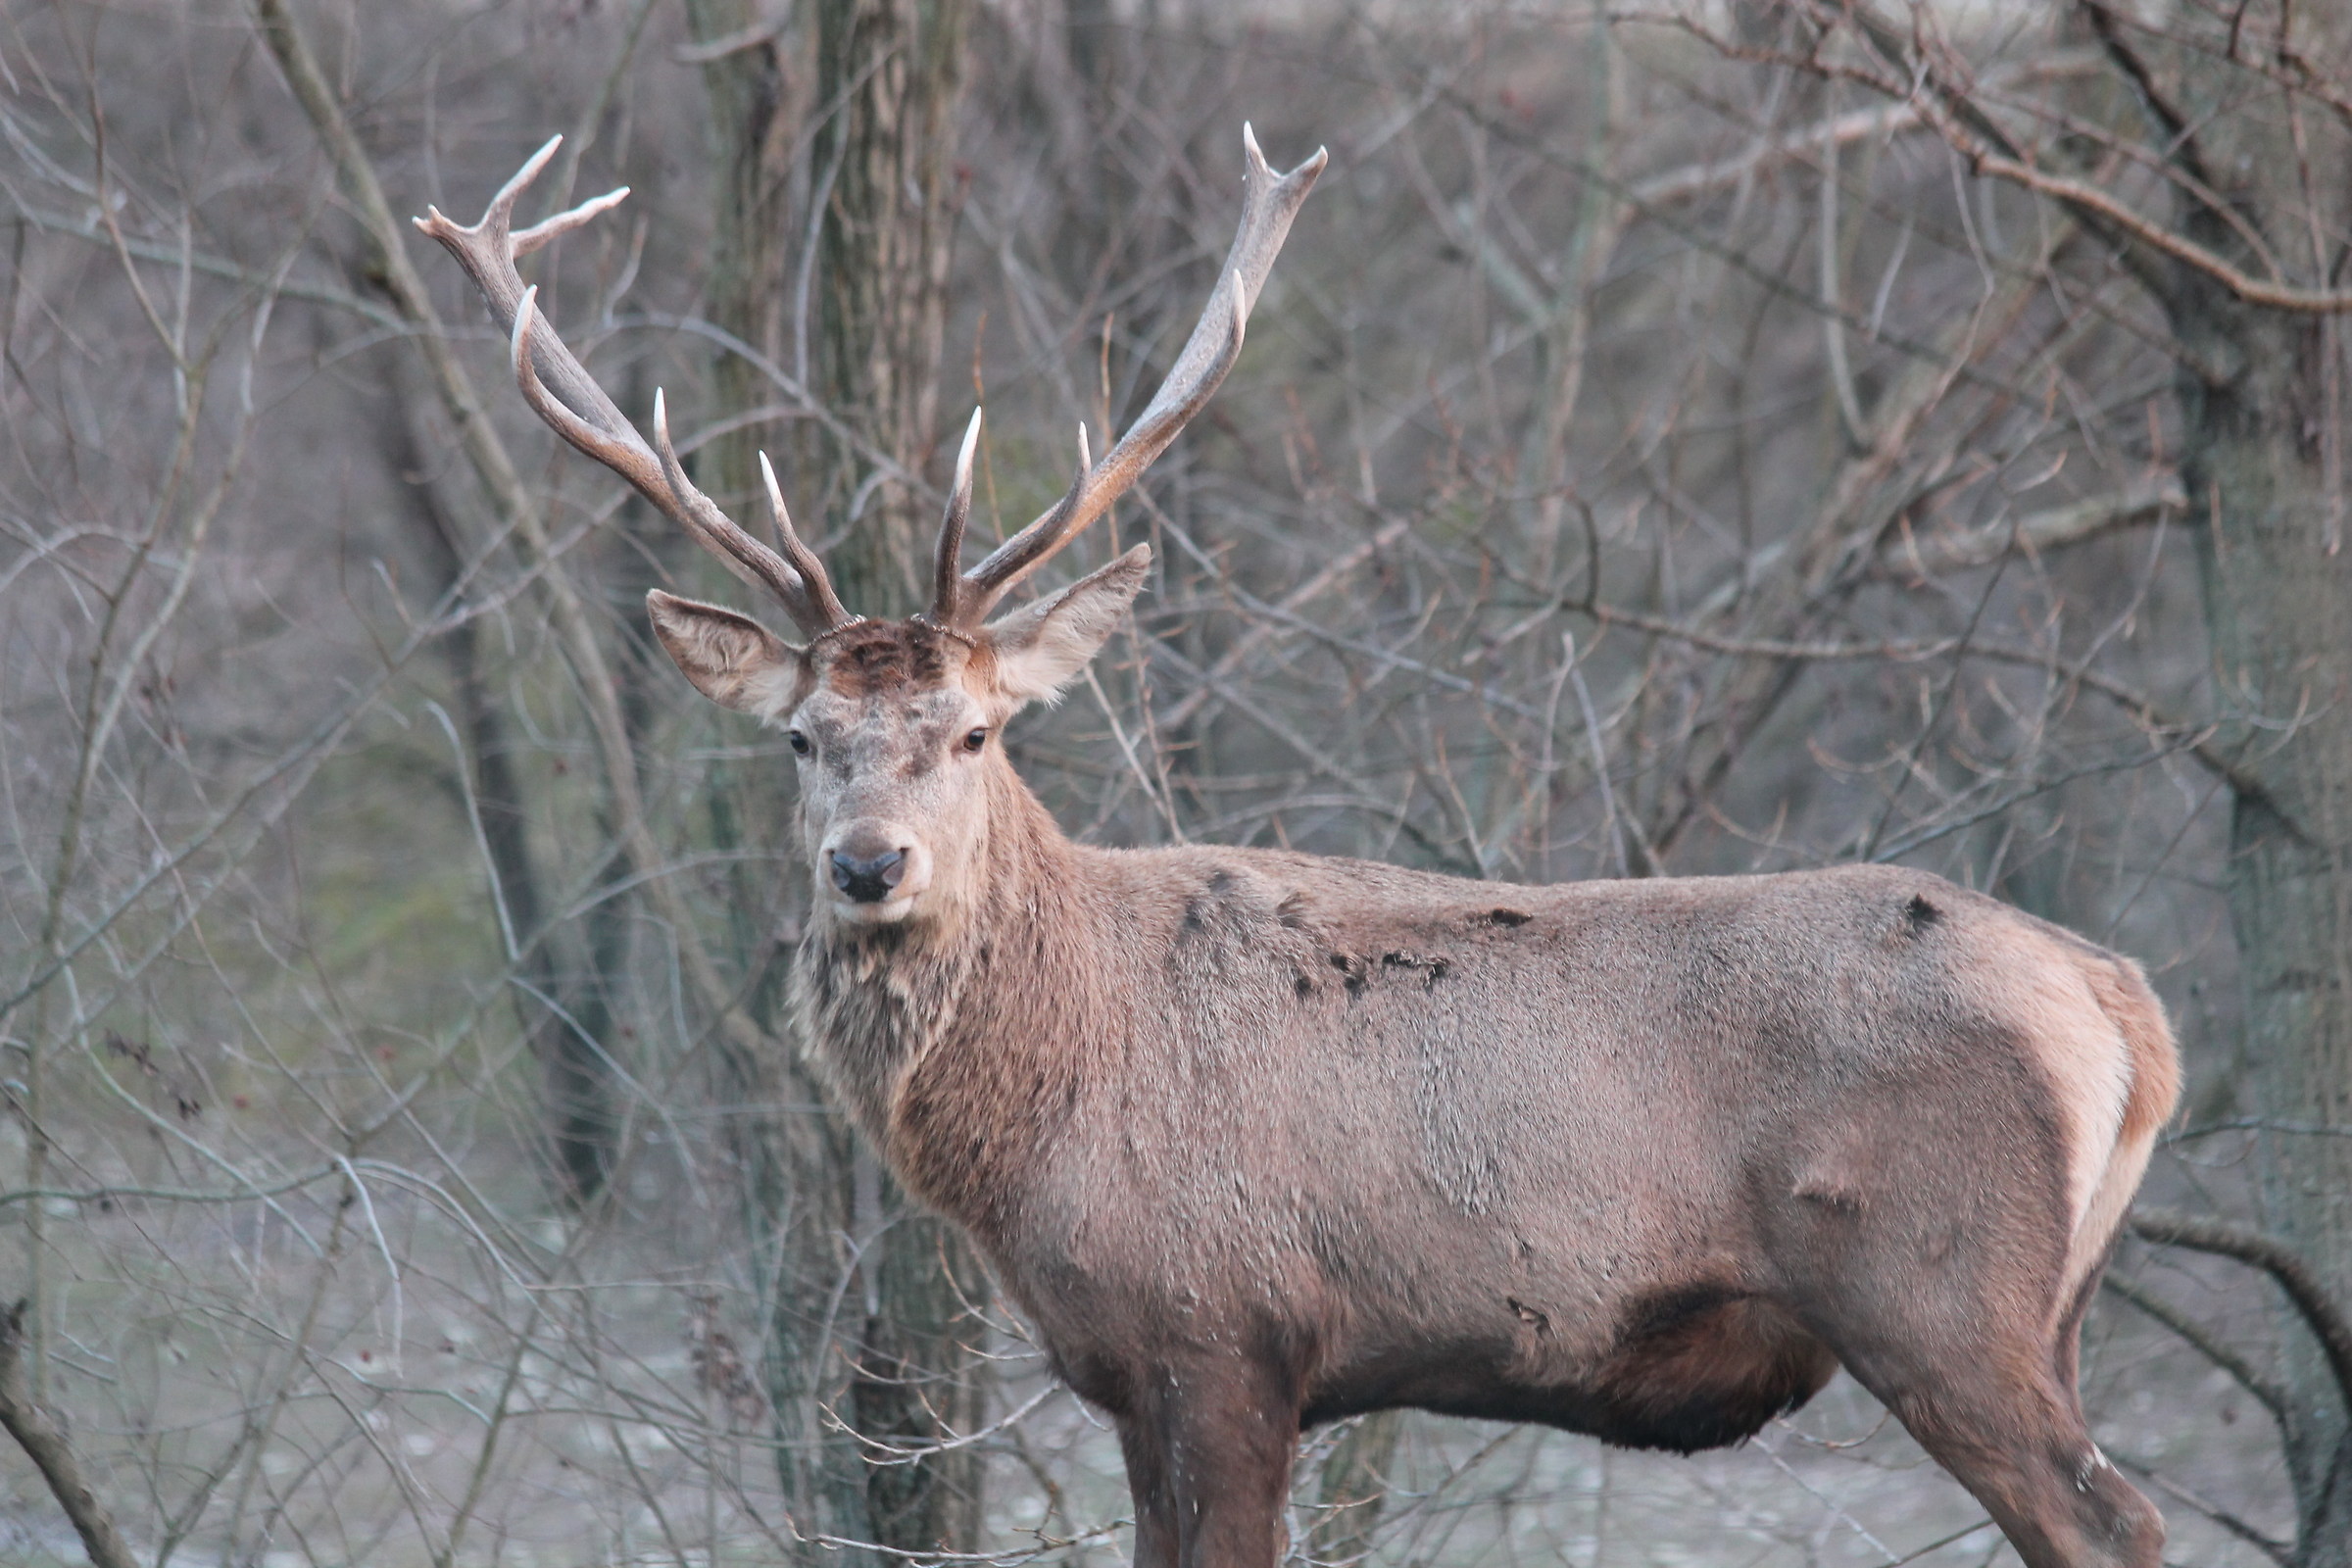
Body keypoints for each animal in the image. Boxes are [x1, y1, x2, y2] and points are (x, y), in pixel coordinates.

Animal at [419, 129, 2179, 1568]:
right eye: (799, 738)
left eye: (977, 732)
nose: (868, 867)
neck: (1043, 1119)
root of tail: (2125, 1009)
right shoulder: (1140, 1376)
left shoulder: (1224, 1335)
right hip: (2049, 1314)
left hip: (1939, 1291)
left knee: (2113, 1521)